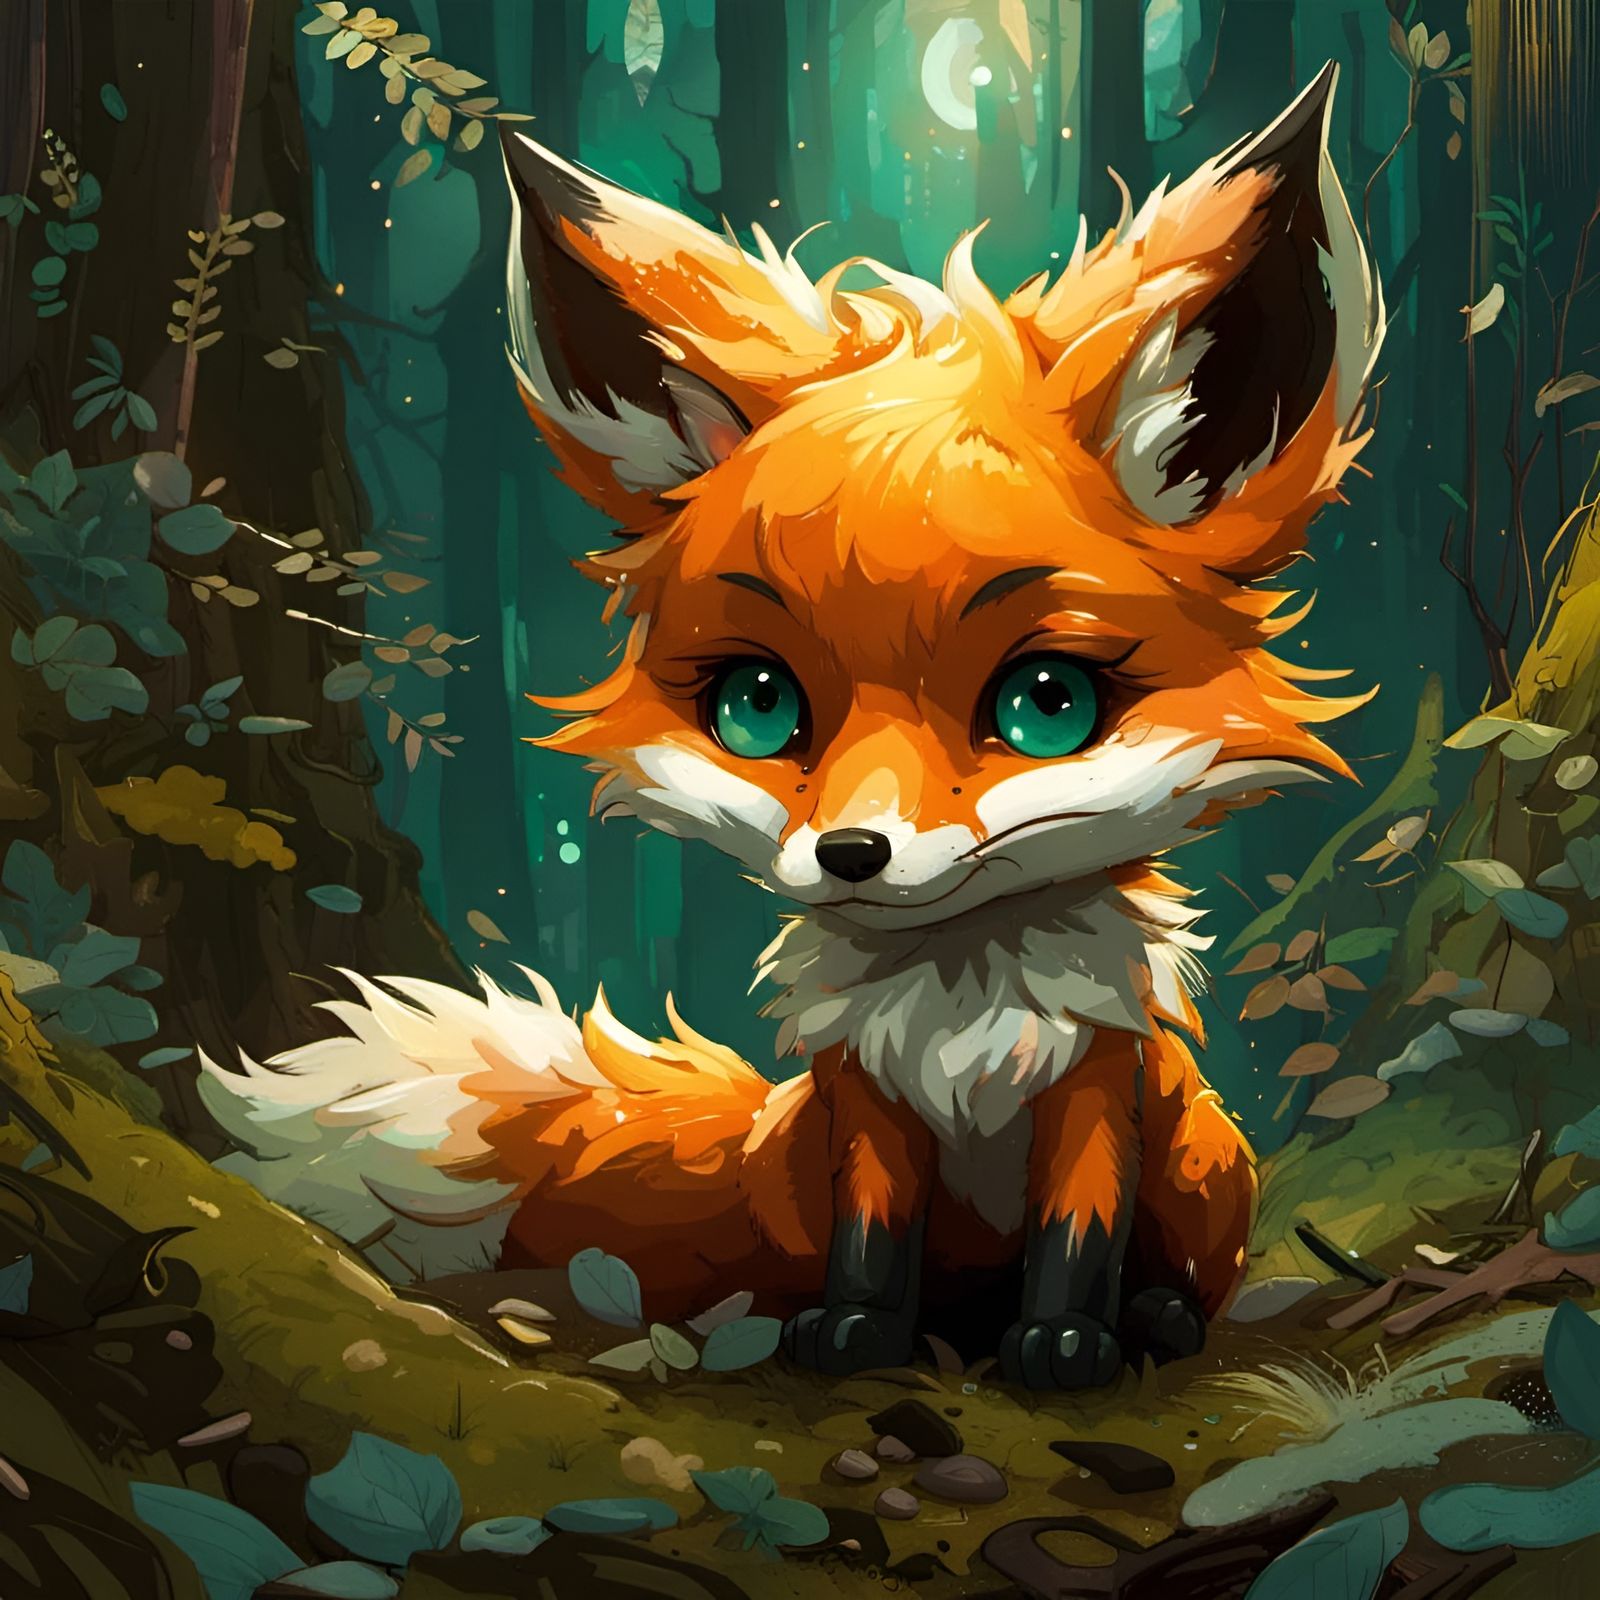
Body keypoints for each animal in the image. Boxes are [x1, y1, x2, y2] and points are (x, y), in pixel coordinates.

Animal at [198, 63, 1383, 1390]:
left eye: (1047, 703)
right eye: (757, 705)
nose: (850, 853)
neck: (956, 1008)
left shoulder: (1092, 1086)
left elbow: (1078, 1234)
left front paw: (1066, 1341)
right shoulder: (861, 1099)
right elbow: (874, 1233)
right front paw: (859, 1333)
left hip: (1203, 1157)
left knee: (1181, 1268)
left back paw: (1154, 1318)